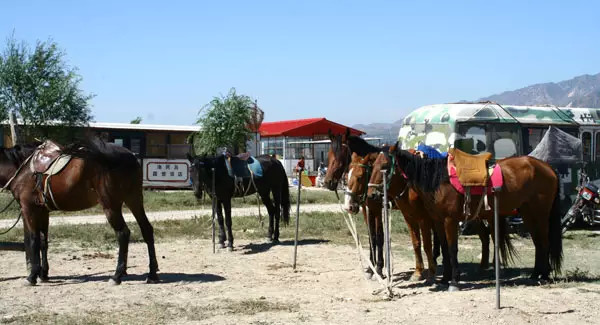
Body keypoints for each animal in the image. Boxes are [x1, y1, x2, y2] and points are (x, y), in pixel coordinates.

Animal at [0, 138, 159, 284]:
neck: (23, 169)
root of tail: (130, 156)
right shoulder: (42, 211)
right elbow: (43, 241)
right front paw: (43, 274)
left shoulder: (28, 209)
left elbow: (33, 240)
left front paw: (32, 276)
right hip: (133, 199)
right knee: (146, 229)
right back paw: (152, 274)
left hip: (111, 205)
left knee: (123, 234)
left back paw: (117, 276)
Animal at [370, 146, 564, 288]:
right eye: (372, 166)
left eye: (384, 167)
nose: (371, 194)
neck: (438, 180)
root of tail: (548, 168)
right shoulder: (438, 221)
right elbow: (444, 249)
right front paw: (445, 278)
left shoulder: (449, 220)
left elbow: (452, 248)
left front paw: (454, 281)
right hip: (528, 214)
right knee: (538, 243)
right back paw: (535, 274)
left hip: (541, 214)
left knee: (544, 242)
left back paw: (544, 275)